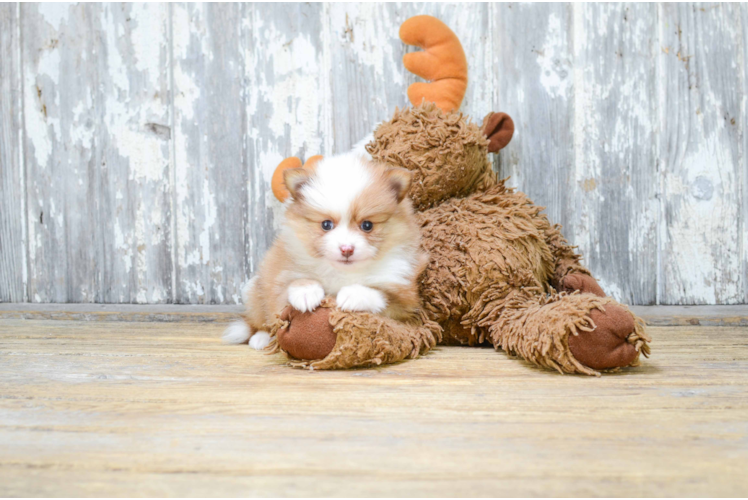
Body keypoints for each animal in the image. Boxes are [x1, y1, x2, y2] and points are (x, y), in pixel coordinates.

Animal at [222, 154, 426, 350]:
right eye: (326, 225)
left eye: (367, 225)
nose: (346, 248)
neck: (343, 272)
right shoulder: (281, 273)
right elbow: (290, 285)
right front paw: (306, 292)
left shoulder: (405, 300)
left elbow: (382, 294)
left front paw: (354, 294)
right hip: (254, 291)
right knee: (259, 319)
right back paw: (261, 338)